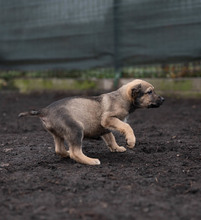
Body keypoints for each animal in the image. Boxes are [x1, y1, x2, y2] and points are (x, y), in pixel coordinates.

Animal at [18, 79, 164, 165]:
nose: (163, 99)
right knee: (76, 152)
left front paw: (116, 148)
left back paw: (67, 154)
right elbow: (126, 126)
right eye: (150, 92)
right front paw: (131, 141)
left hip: (58, 134)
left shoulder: (104, 126)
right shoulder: (108, 119)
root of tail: (45, 110)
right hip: (75, 129)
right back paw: (90, 161)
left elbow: (110, 138)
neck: (123, 98)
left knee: (59, 149)